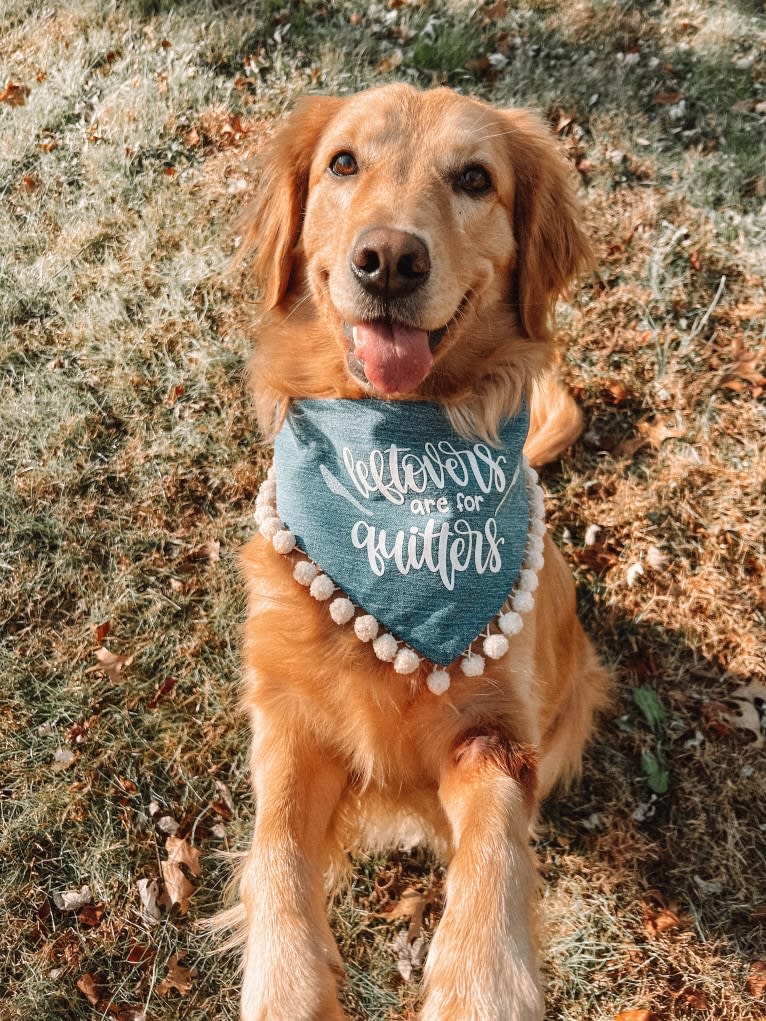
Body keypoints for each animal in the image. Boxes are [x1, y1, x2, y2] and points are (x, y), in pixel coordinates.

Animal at [221, 83, 612, 1016]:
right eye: (343, 163)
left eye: (475, 178)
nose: (389, 260)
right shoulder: (287, 713)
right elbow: (275, 850)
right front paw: (286, 985)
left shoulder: (495, 736)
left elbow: (496, 855)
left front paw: (482, 984)